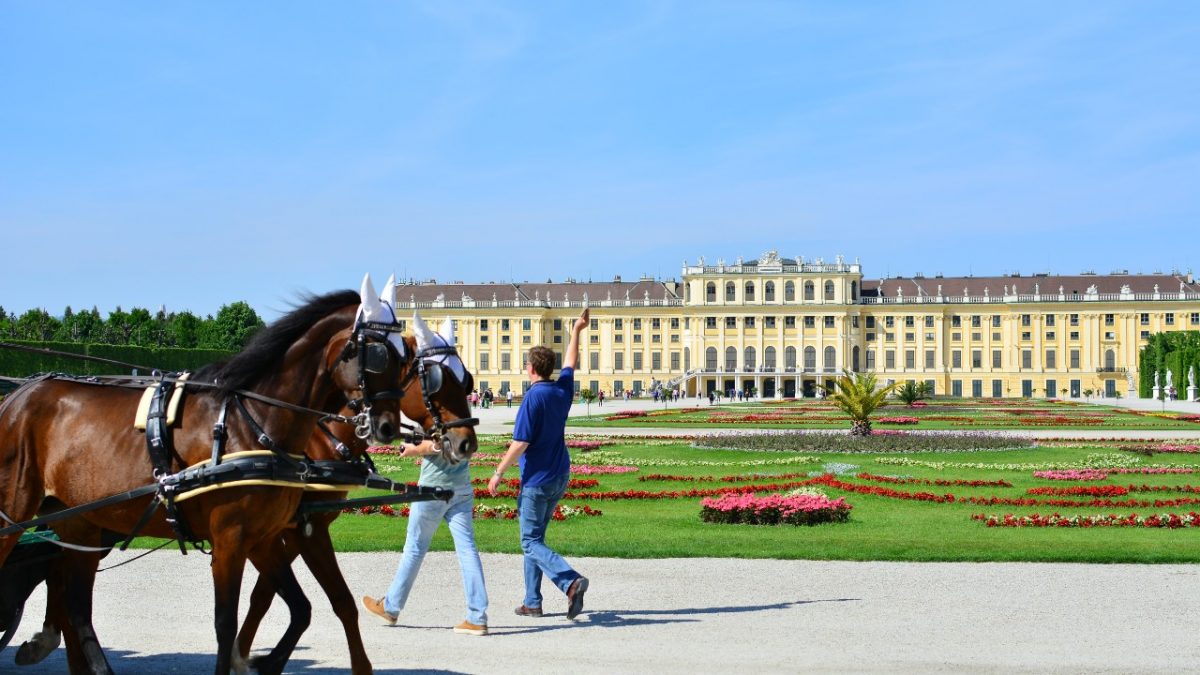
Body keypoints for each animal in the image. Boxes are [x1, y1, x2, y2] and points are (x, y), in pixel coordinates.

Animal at [0, 281, 470, 667]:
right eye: (426, 374)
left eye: (465, 379)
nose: (466, 441)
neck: (260, 426)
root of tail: (19, 394)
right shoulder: (251, 538)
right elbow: (236, 619)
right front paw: (251, 656)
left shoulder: (275, 534)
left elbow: (306, 604)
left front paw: (260, 659)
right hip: (20, 514)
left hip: (80, 521)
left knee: (75, 604)